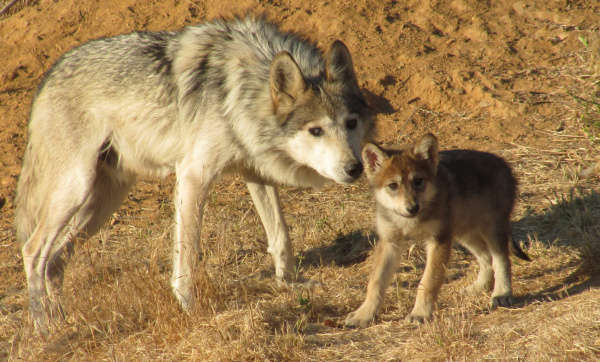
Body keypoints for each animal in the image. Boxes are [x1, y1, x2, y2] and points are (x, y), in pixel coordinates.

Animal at [16, 15, 372, 332]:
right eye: (316, 131)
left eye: (351, 123)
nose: (354, 168)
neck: (242, 88)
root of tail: (47, 78)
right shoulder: (193, 175)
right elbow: (187, 253)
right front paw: (189, 307)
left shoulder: (255, 172)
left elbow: (280, 235)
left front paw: (291, 283)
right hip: (76, 190)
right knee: (33, 252)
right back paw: (44, 330)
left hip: (102, 203)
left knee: (54, 261)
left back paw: (62, 322)